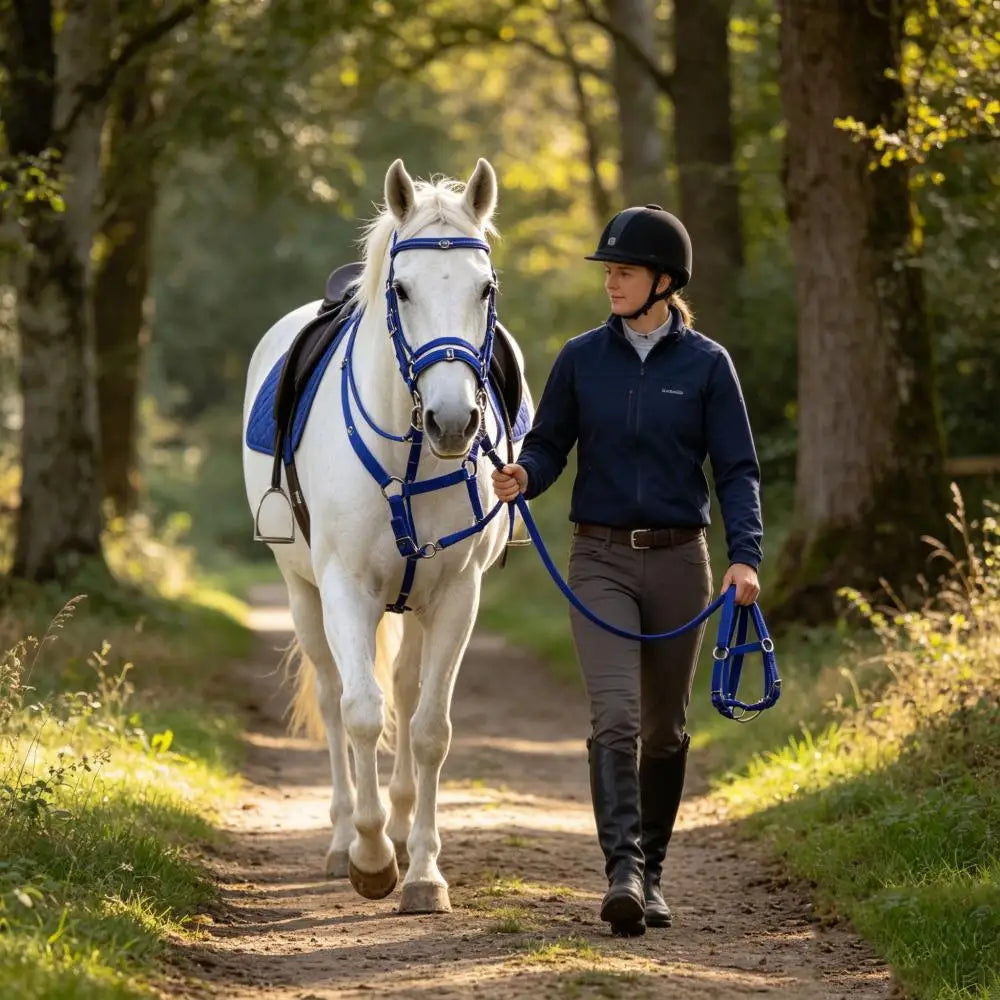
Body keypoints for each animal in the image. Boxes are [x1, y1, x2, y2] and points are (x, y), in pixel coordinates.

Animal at [241, 158, 532, 914]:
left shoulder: (457, 595)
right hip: (303, 593)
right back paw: (346, 837)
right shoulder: (345, 589)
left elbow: (428, 729)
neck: (410, 456)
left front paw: (423, 871)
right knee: (333, 694)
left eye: (485, 288)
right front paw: (370, 860)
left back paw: (400, 831)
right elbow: (361, 713)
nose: (454, 422)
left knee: (403, 690)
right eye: (401, 290)